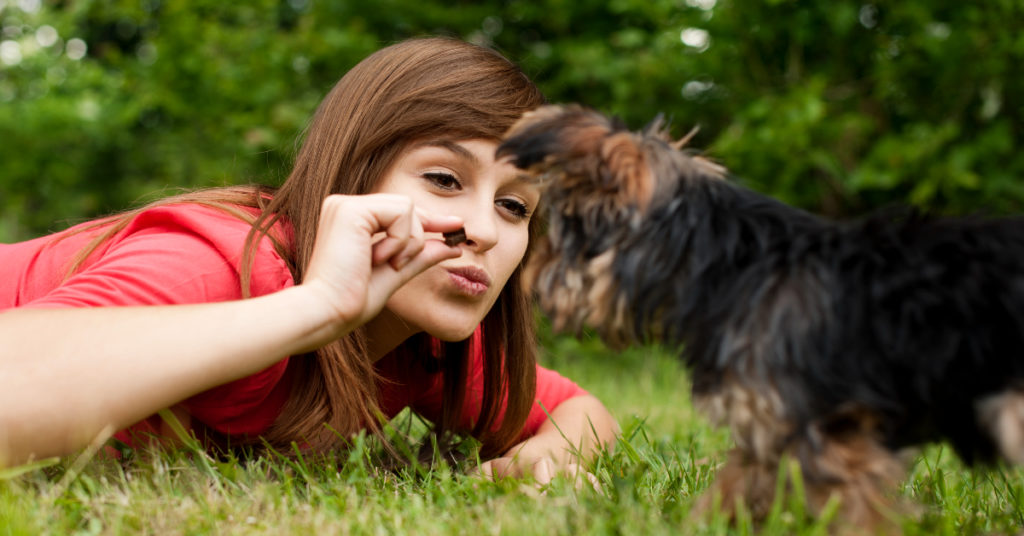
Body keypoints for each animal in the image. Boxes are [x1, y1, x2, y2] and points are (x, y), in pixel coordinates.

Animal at [499, 105, 1024, 532]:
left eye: (562, 233)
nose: (530, 277)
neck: (721, 266)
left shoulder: (832, 439)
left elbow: (854, 515)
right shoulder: (768, 426)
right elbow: (733, 487)